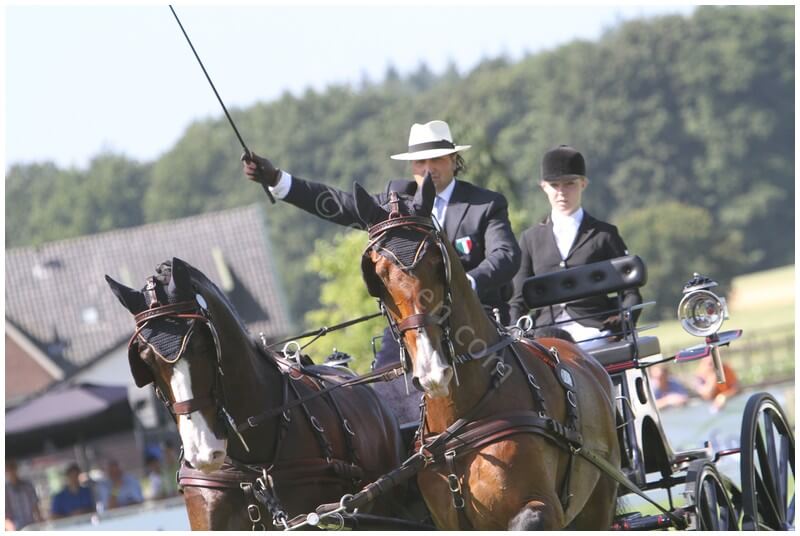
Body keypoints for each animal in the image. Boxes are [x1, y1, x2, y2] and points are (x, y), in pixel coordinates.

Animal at [355, 175, 621, 530]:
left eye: (437, 262)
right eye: (377, 275)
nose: (432, 371)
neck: (462, 422)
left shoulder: (542, 507)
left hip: (598, 501)